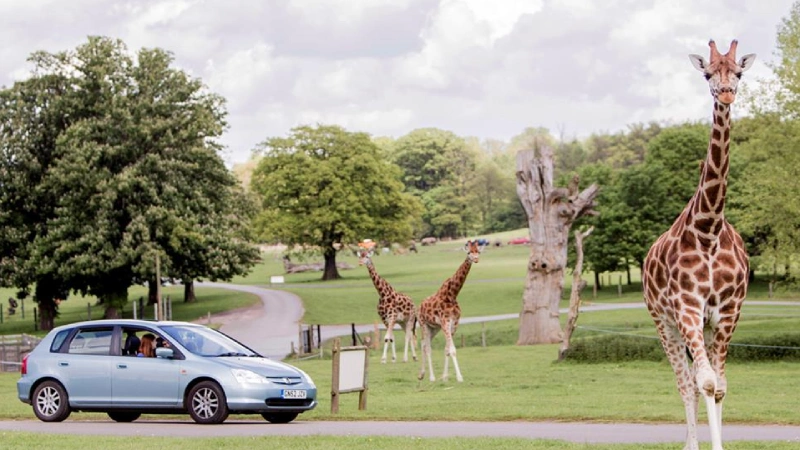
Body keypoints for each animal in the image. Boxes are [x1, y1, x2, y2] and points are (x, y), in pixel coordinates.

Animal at [417, 240, 484, 382]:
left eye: (478, 252)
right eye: (469, 252)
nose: (476, 259)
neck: (452, 295)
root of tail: (419, 307)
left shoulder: (454, 323)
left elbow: (447, 349)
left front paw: (445, 377)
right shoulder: (445, 322)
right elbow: (452, 350)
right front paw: (459, 377)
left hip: (434, 328)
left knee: (424, 344)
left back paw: (422, 374)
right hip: (423, 324)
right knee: (427, 347)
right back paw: (431, 377)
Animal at [642, 39, 755, 450]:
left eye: (738, 72)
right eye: (707, 73)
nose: (725, 93)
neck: (708, 229)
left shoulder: (727, 310)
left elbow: (719, 385)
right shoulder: (686, 308)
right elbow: (701, 383)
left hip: (701, 324)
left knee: (695, 379)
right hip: (663, 322)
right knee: (684, 383)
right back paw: (689, 443)